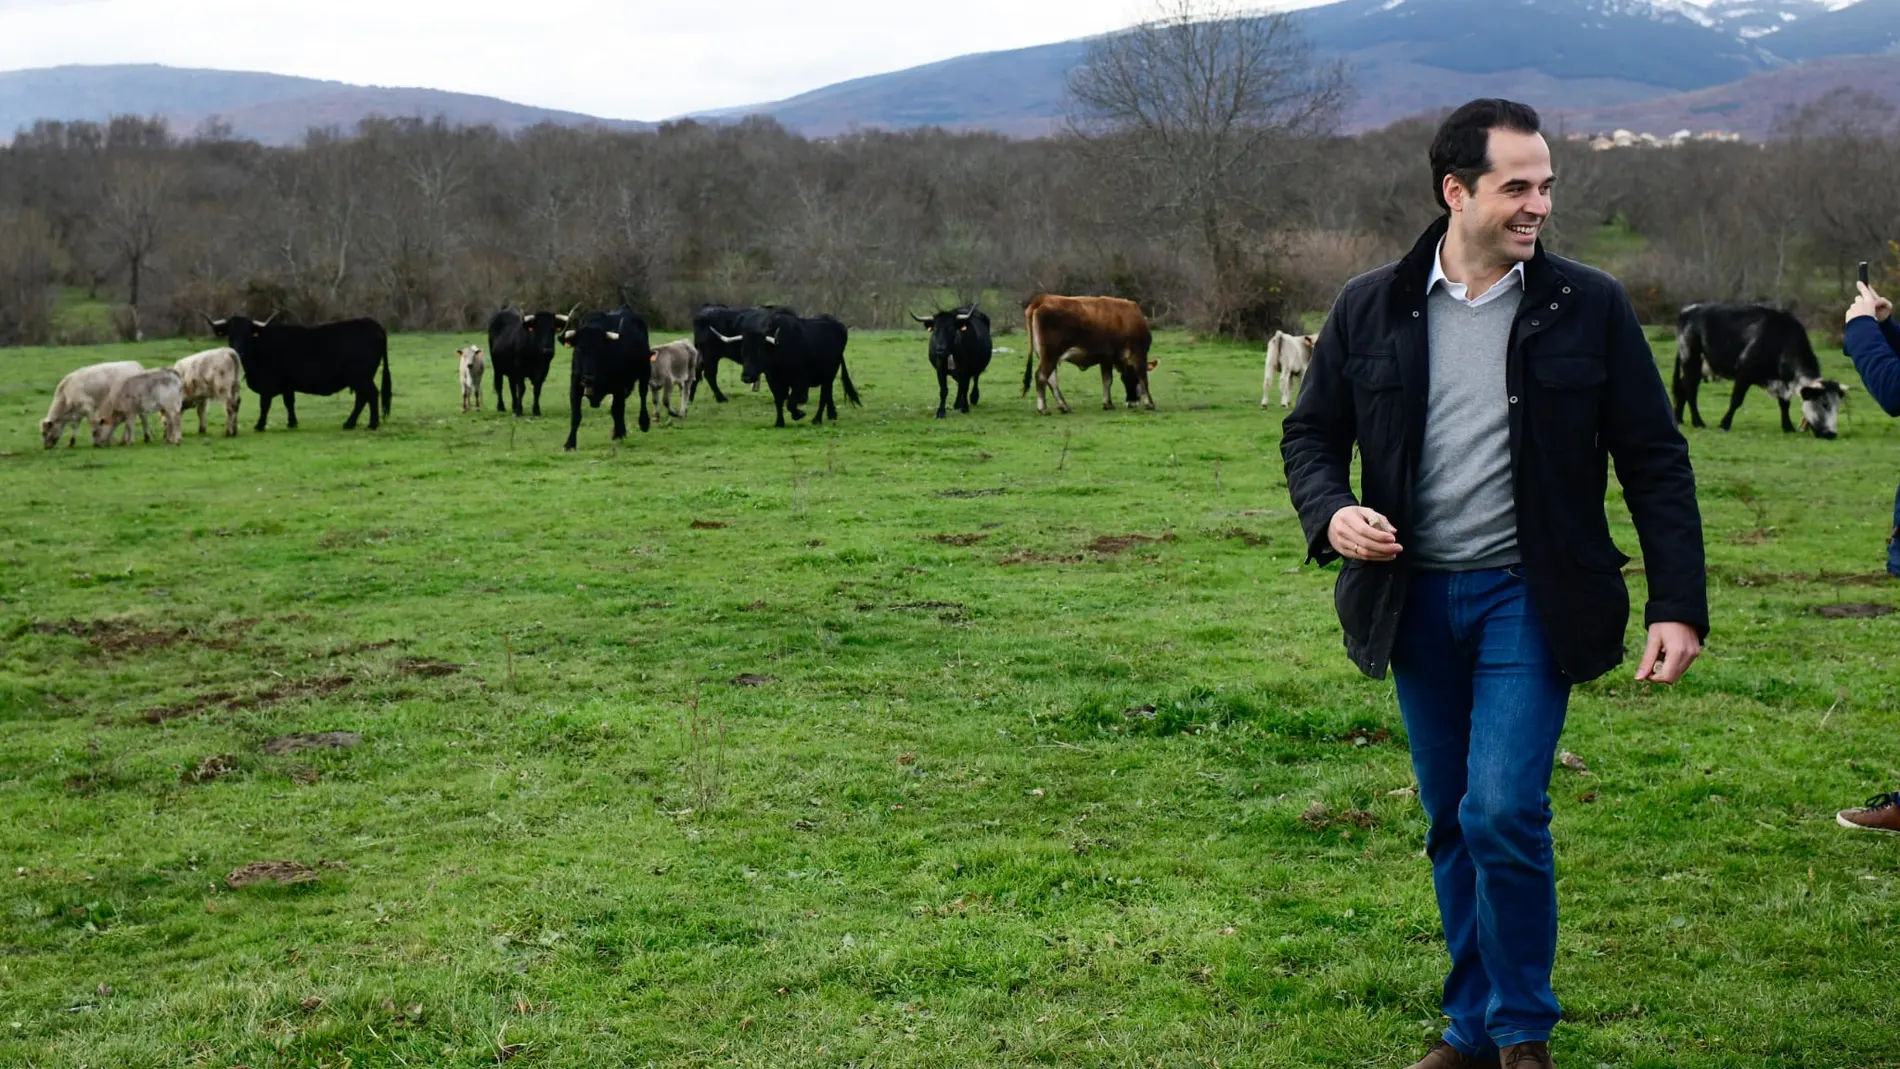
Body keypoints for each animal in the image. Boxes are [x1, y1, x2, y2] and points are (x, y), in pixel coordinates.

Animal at [208, 313, 389, 431]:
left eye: (248, 333)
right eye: (230, 334)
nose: (238, 351)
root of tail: (373, 324)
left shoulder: (268, 384)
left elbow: (265, 405)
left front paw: (260, 425)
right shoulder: (287, 385)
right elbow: (289, 402)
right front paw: (292, 423)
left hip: (361, 378)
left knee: (371, 395)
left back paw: (372, 424)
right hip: (359, 379)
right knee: (362, 398)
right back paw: (350, 423)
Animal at [554, 305, 653, 451]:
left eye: (600, 349)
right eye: (579, 349)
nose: (588, 378)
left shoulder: (619, 386)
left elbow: (616, 410)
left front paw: (619, 433)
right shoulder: (575, 386)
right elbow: (576, 416)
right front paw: (569, 444)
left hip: (645, 372)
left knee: (642, 395)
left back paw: (643, 423)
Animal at [714, 309, 862, 427]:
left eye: (760, 352)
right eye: (743, 352)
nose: (746, 377)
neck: (778, 350)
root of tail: (839, 326)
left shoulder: (800, 383)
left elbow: (790, 402)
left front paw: (798, 414)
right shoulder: (774, 382)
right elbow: (779, 401)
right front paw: (779, 423)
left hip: (829, 374)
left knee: (824, 396)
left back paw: (817, 419)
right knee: (828, 394)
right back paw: (831, 414)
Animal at [1026, 294, 1155, 415]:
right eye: (1128, 379)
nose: (1131, 403)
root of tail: (1044, 298)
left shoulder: (1107, 359)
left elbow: (1107, 380)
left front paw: (1107, 404)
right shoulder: (1138, 354)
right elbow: (1143, 378)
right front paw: (1150, 404)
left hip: (1047, 356)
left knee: (1052, 380)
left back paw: (1064, 406)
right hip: (1050, 355)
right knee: (1041, 376)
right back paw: (1043, 408)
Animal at [1679, 301, 1839, 438]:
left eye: (1838, 406)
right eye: (1824, 404)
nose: (1832, 434)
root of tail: (1690, 309)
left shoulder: (1781, 382)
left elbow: (1784, 404)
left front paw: (1788, 427)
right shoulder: (1744, 373)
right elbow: (1736, 400)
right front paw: (1724, 424)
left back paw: (1679, 418)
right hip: (1691, 359)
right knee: (1689, 390)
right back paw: (1698, 422)